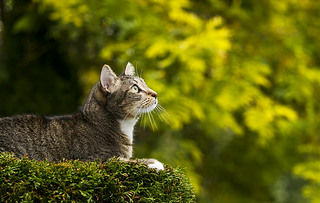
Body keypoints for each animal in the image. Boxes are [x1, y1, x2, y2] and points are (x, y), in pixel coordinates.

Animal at [0, 62, 164, 170]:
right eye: (135, 88)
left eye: (145, 84)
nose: (155, 94)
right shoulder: (92, 160)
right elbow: (121, 161)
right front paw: (153, 163)